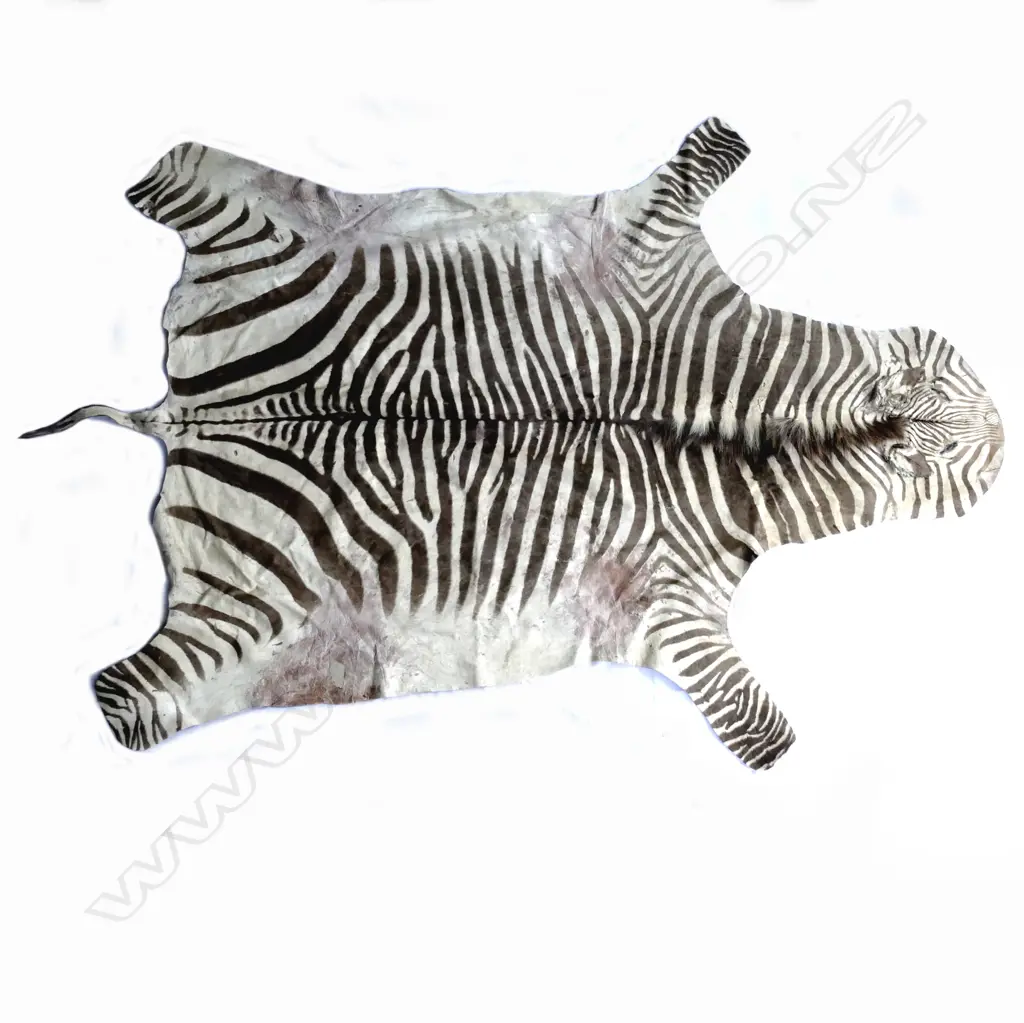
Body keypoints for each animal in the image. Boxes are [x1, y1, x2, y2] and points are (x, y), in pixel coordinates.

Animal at [21, 117, 1004, 767]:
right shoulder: (658, 240)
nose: (1002, 432)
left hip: (240, 610)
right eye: (951, 428)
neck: (754, 424)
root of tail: (183, 412)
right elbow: (700, 160)